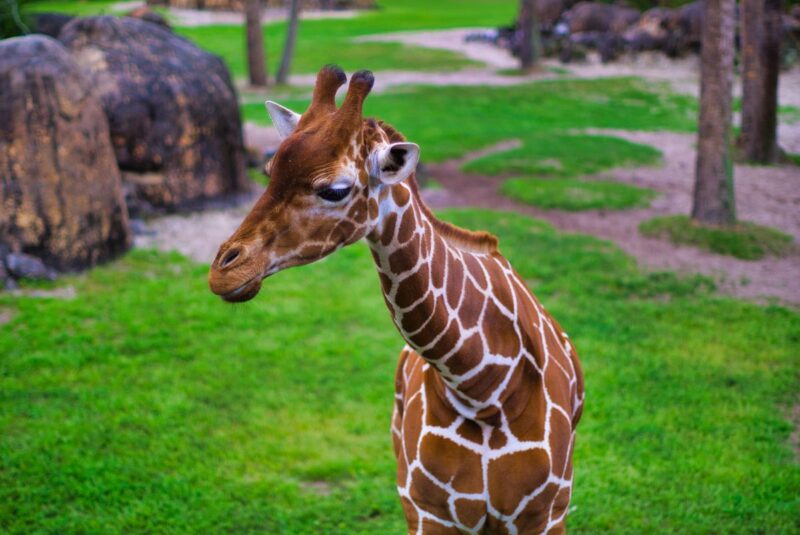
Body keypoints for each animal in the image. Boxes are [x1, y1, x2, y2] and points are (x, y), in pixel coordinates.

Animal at [209, 67, 584, 535]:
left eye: (335, 190)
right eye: (268, 169)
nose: (224, 271)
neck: (484, 388)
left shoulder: (545, 513)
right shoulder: (425, 509)